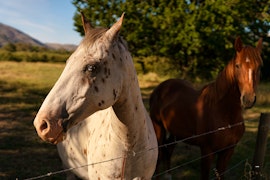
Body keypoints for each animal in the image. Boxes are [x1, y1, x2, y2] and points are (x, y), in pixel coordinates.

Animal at [149, 37, 262, 179]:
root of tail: (160, 88)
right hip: (158, 127)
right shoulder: (207, 152)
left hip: (175, 132)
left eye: (259, 66)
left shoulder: (228, 151)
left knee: (168, 150)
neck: (224, 114)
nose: (248, 99)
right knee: (158, 154)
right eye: (237, 65)